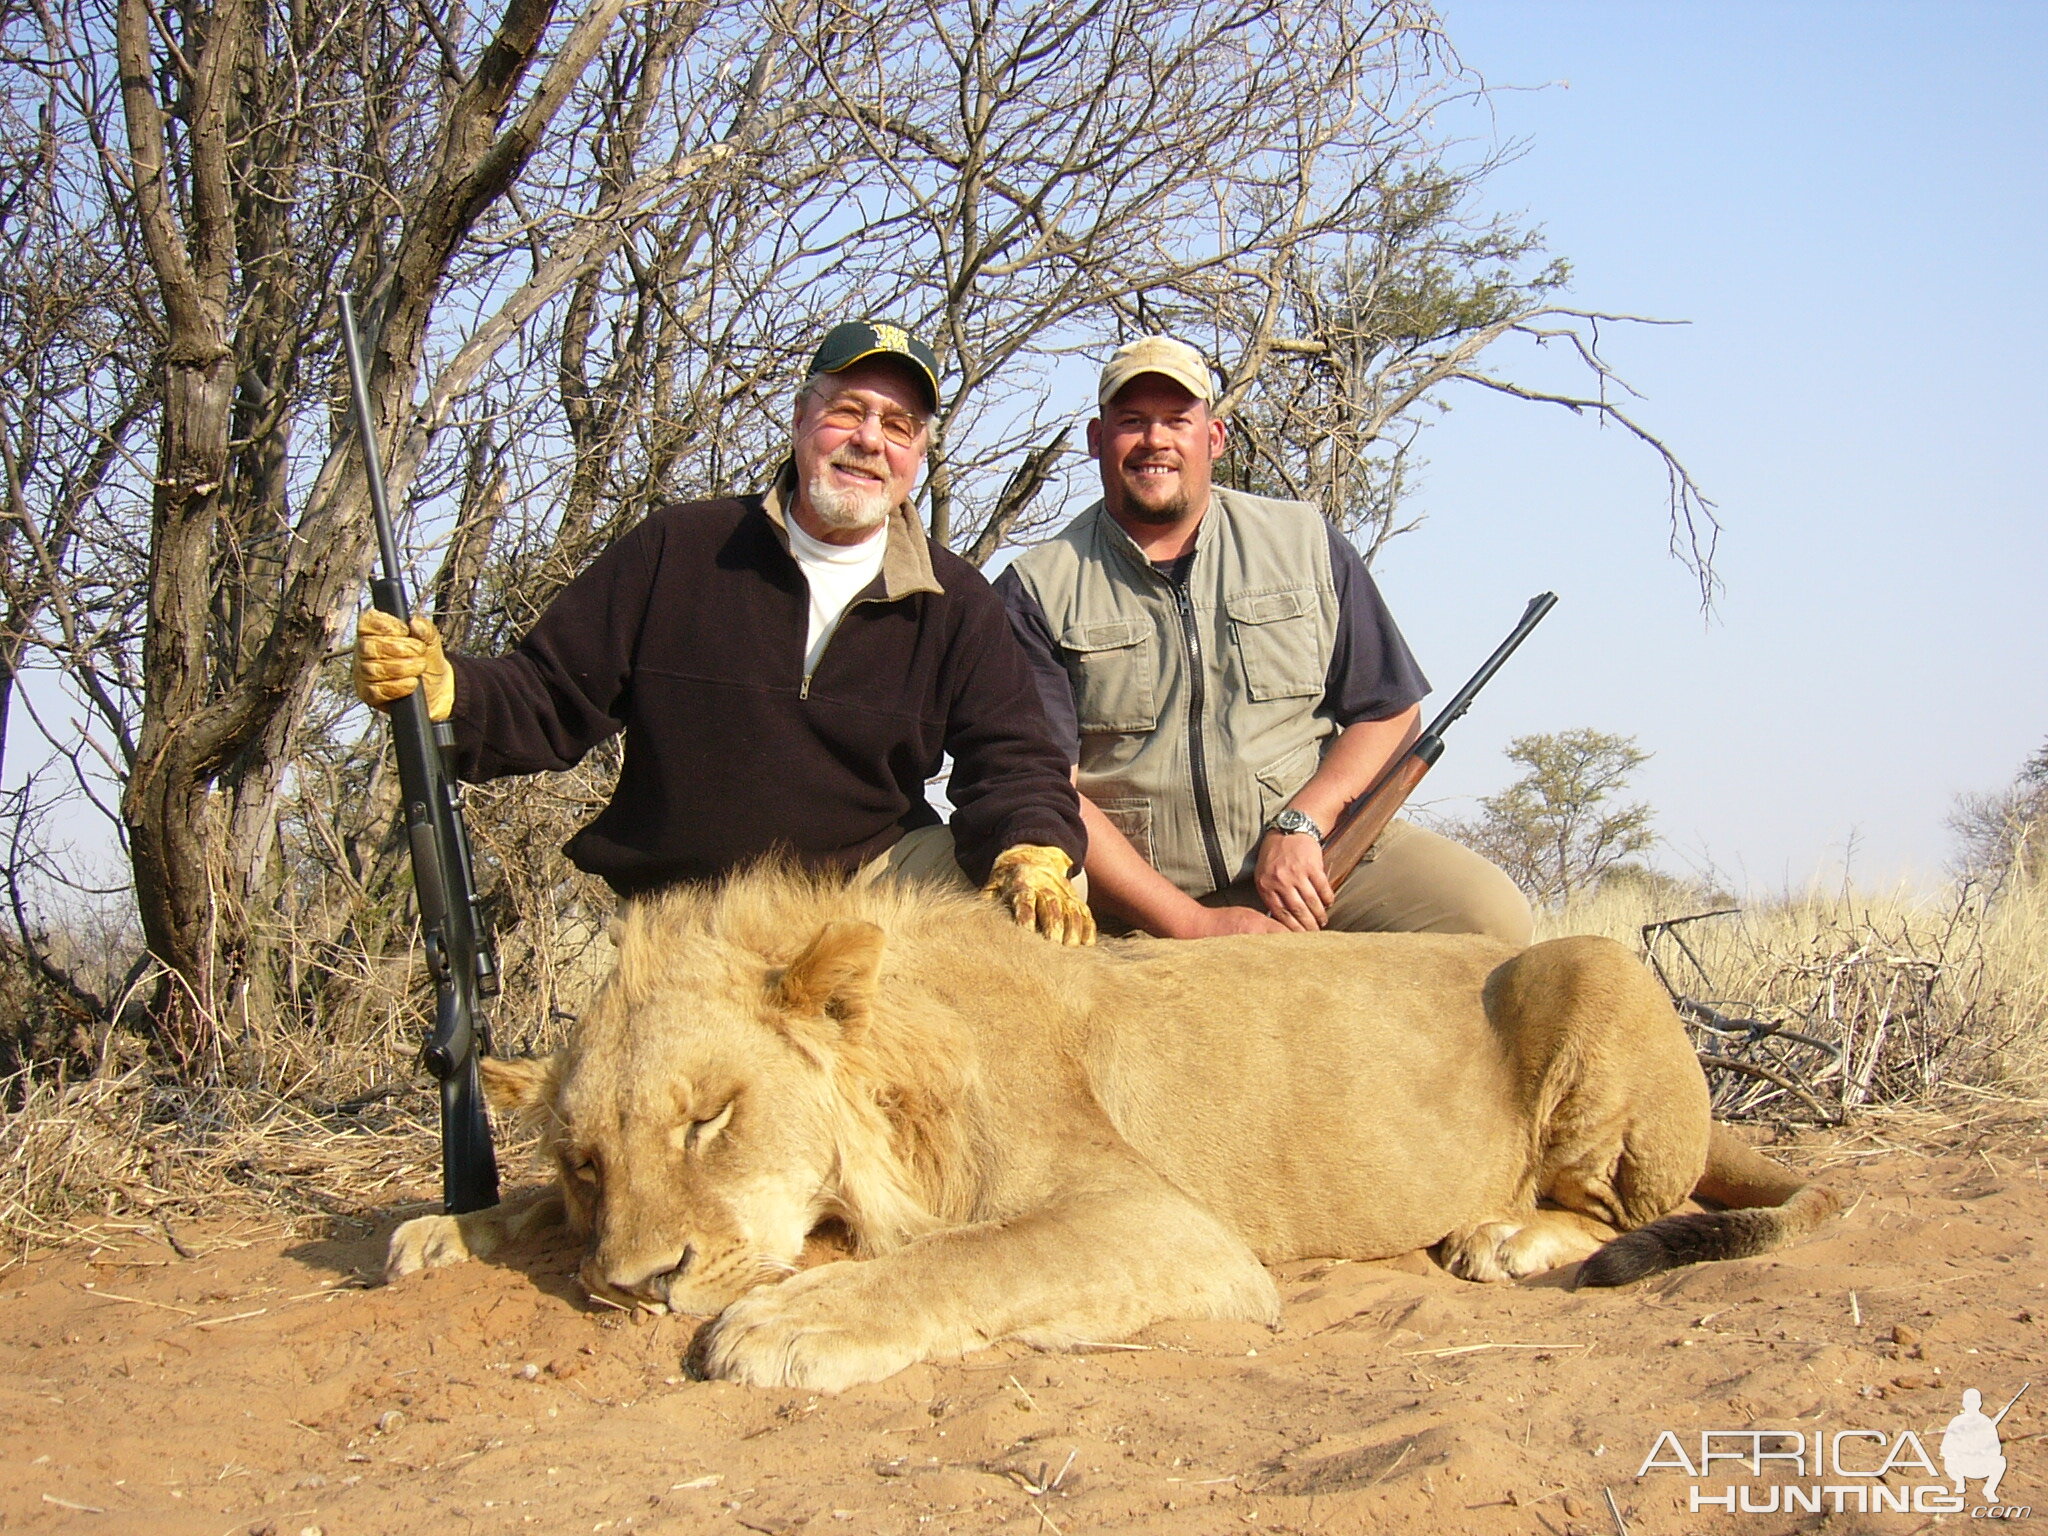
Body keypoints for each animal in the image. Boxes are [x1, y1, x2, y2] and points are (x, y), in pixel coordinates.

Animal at [385, 868, 1843, 1392]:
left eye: (710, 1120)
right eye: (588, 1161)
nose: (635, 1286)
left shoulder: (1164, 1223)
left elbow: (966, 1258)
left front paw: (785, 1322)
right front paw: (447, 1227)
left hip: (1592, 967)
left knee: (1622, 1209)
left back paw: (1509, 1239)